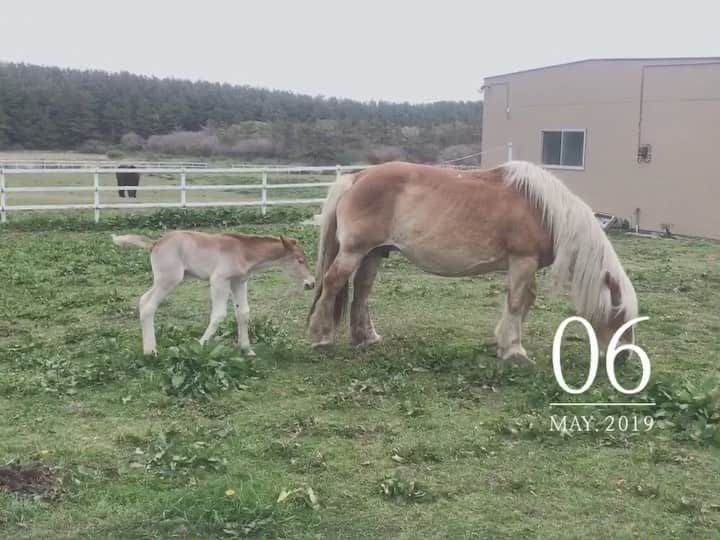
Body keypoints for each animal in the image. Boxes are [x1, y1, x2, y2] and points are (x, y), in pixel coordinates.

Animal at [112, 231, 316, 354]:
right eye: (299, 260)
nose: (311, 283)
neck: (242, 252)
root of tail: (155, 243)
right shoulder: (219, 281)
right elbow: (219, 315)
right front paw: (199, 344)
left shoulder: (239, 282)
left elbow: (243, 313)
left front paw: (247, 349)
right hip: (169, 279)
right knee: (149, 306)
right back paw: (151, 352)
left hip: (164, 280)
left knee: (143, 300)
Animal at [306, 158, 640, 364]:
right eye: (620, 314)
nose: (623, 358)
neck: (545, 211)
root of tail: (357, 177)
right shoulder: (523, 260)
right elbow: (518, 302)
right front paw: (515, 351)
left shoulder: (523, 264)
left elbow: (521, 303)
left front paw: (505, 345)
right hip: (354, 251)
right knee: (333, 283)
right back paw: (321, 337)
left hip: (374, 253)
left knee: (362, 291)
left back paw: (367, 338)